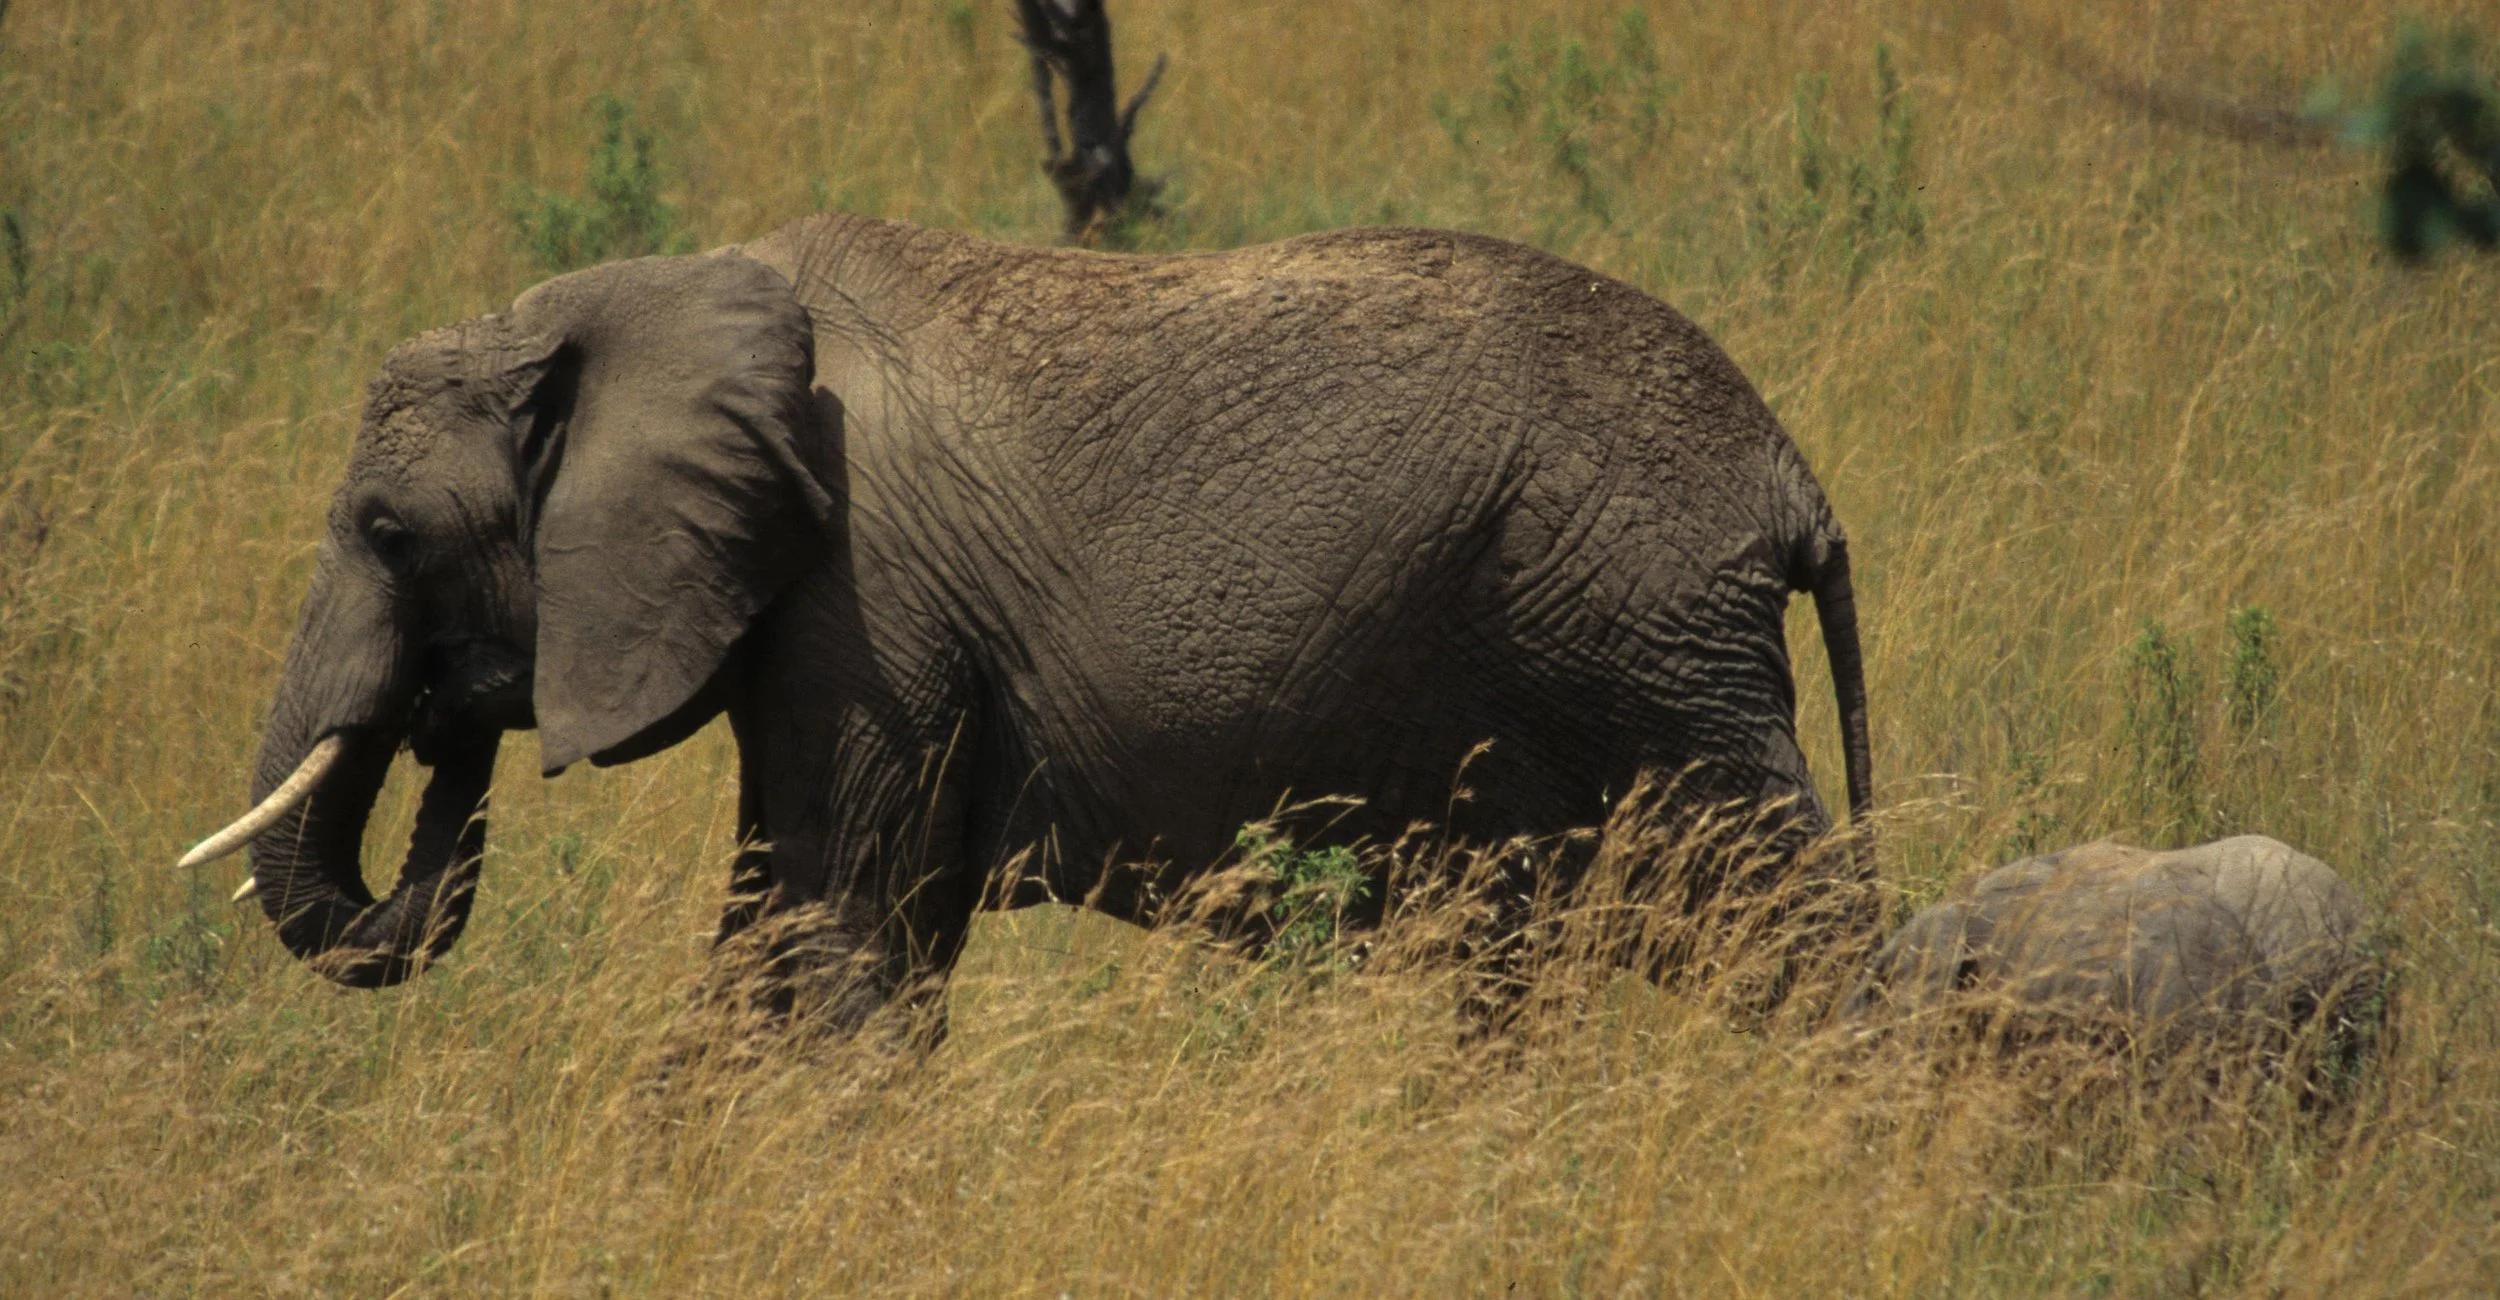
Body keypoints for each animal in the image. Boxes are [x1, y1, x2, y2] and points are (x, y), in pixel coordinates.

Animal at [179, 215, 1873, 1038]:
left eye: (387, 533)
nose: (450, 715)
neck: (652, 301)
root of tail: (1793, 477)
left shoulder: (865, 608)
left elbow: (840, 928)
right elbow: (781, 926)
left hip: (1638, 644)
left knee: (1792, 932)